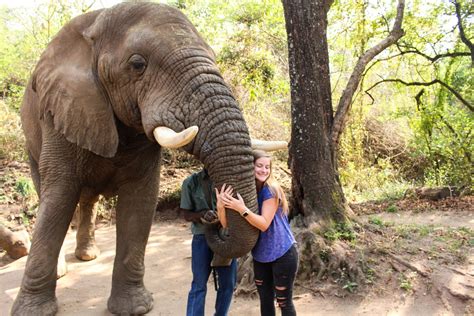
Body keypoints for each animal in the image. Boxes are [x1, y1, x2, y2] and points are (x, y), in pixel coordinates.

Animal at [12, 3, 288, 316]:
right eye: (137, 65)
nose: (216, 220)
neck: (97, 23)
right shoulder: (62, 109)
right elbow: (59, 196)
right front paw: (33, 311)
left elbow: (140, 200)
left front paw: (134, 308)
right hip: (31, 140)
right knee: (47, 191)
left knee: (89, 199)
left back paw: (87, 255)